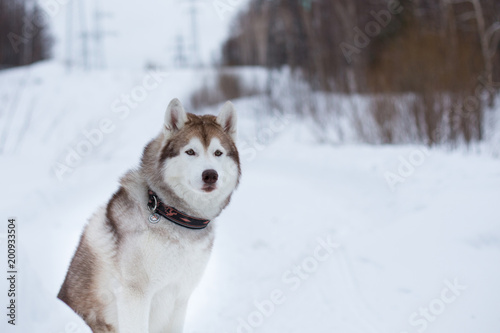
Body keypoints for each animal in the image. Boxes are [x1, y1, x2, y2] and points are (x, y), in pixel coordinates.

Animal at [57, 98, 241, 332]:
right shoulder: (135, 294)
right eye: (190, 152)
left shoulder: (180, 296)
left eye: (218, 153)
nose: (210, 175)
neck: (174, 215)